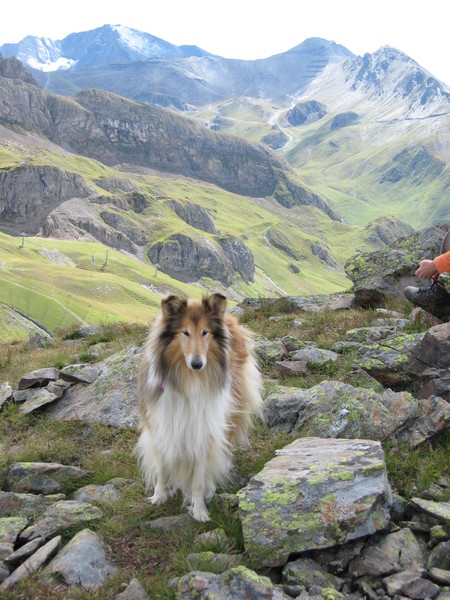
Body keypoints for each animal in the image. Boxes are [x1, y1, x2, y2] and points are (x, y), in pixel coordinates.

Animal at [135, 292, 262, 524]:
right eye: (185, 332)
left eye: (205, 332)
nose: (197, 364)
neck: (188, 380)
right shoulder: (161, 423)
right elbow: (162, 468)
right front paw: (159, 496)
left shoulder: (203, 429)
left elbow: (198, 478)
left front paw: (200, 510)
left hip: (231, 407)